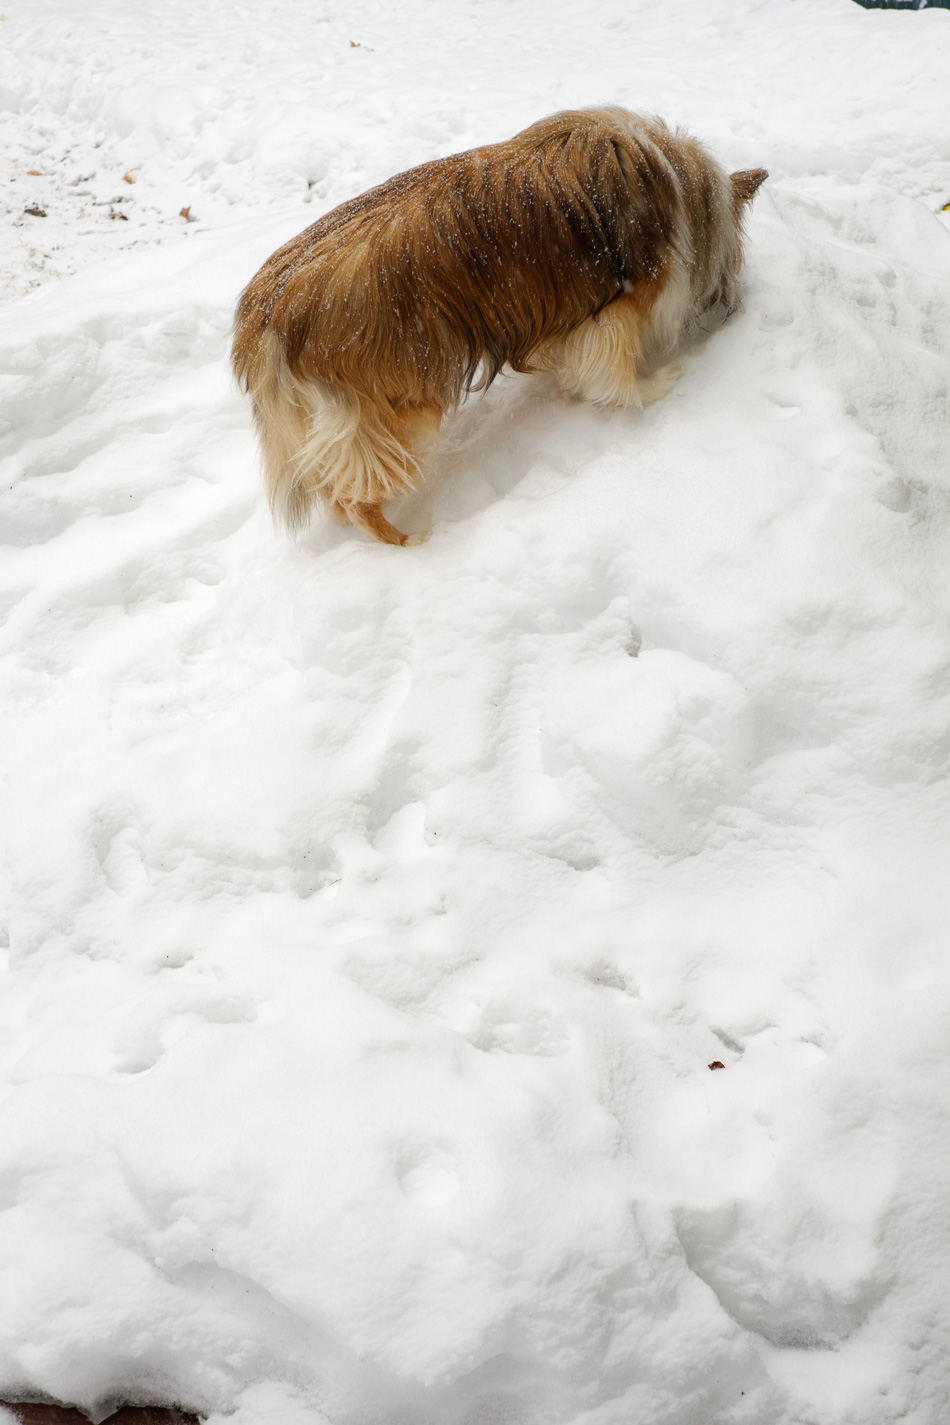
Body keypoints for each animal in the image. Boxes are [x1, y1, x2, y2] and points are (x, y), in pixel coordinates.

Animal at [233, 106, 769, 544]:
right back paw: (408, 541)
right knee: (354, 494)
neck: (675, 185)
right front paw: (654, 386)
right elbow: (616, 374)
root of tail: (265, 312)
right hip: (397, 407)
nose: (733, 309)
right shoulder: (617, 310)